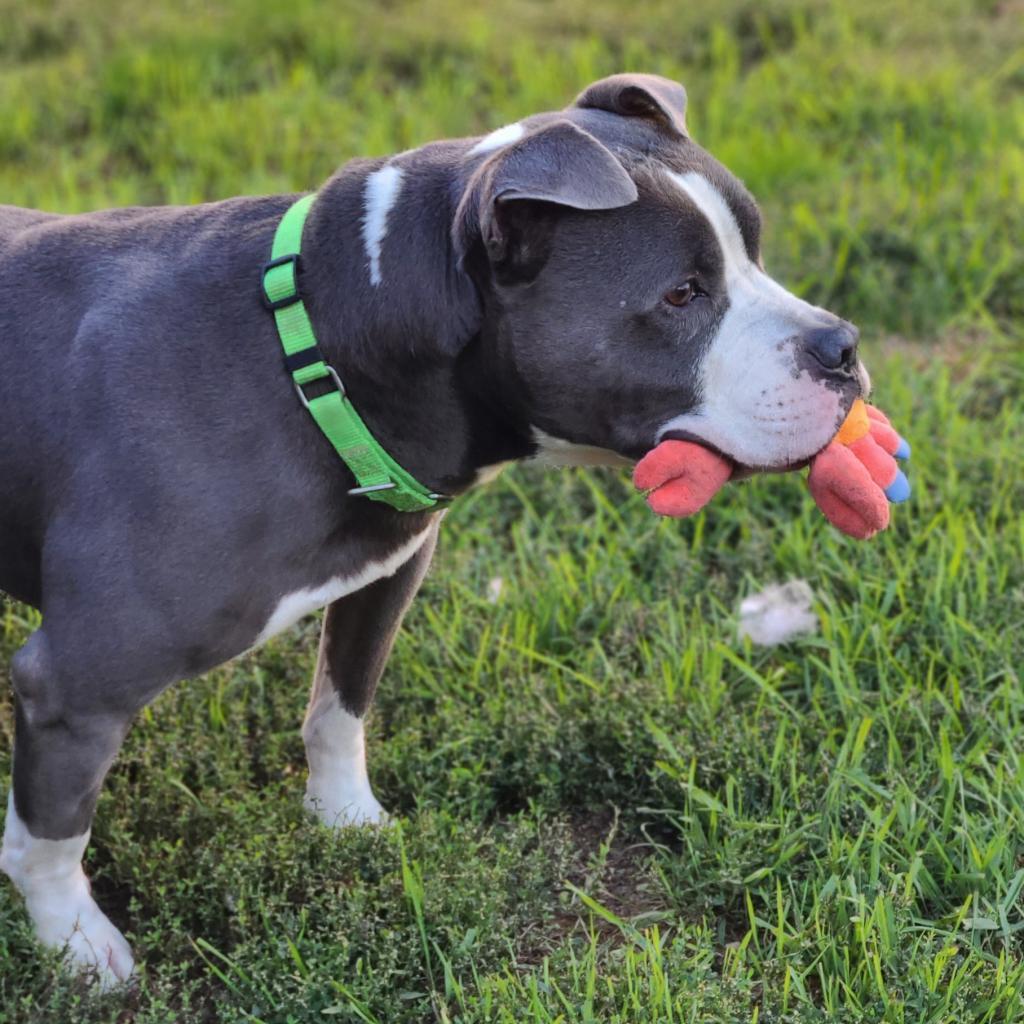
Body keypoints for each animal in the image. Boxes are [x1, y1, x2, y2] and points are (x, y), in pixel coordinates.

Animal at [0, 72, 868, 983]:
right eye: (680, 295)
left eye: (754, 251)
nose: (841, 345)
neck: (318, 353)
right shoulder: (76, 686)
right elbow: (49, 839)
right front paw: (76, 946)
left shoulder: (383, 573)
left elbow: (340, 709)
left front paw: (347, 822)